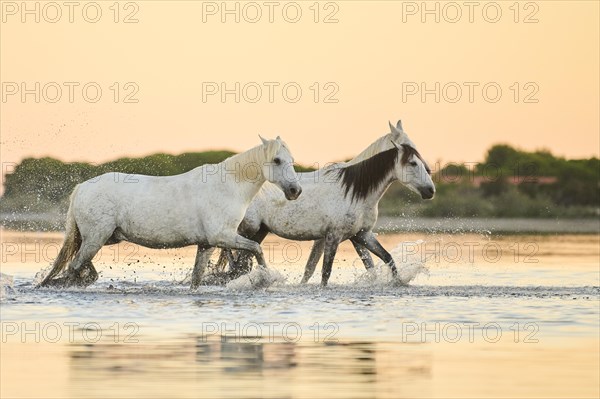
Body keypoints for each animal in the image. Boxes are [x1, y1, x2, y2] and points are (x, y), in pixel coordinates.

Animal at [38, 137, 302, 288]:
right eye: (276, 160)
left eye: (291, 159)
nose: (295, 190)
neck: (228, 185)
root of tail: (81, 188)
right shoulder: (223, 237)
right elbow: (257, 250)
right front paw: (266, 279)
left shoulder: (207, 244)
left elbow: (196, 279)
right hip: (97, 238)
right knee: (75, 267)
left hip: (104, 238)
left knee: (80, 265)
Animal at [197, 121, 436, 288]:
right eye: (412, 160)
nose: (430, 190)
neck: (355, 191)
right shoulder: (333, 237)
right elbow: (323, 272)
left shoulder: (361, 235)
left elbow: (384, 260)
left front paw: (396, 283)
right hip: (246, 230)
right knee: (233, 258)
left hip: (258, 232)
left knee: (239, 263)